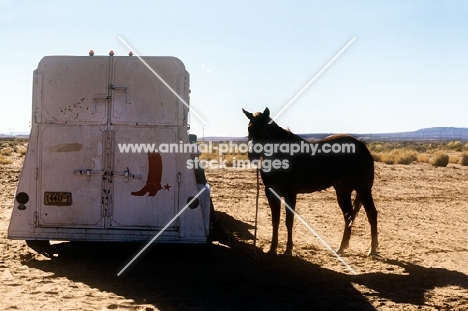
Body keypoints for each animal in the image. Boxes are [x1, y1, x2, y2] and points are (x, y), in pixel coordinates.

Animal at [243, 108, 378, 258]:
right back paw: (341, 248)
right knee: (348, 216)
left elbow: (289, 221)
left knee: (372, 214)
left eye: (265, 130)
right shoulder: (271, 193)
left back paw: (372, 249)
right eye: (249, 128)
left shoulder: (290, 194)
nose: (252, 155)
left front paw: (288, 250)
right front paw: (272, 249)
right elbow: (275, 221)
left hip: (363, 189)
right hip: (343, 191)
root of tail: (362, 146)